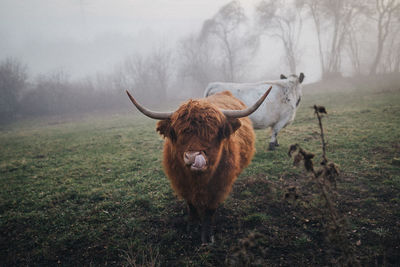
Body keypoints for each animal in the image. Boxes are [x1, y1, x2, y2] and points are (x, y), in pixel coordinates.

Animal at [127, 88, 272, 245]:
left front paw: (207, 236)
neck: (198, 180)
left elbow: (210, 210)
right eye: (177, 132)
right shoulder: (182, 184)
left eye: (212, 132)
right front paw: (191, 227)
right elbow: (191, 206)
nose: (192, 156)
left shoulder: (219, 187)